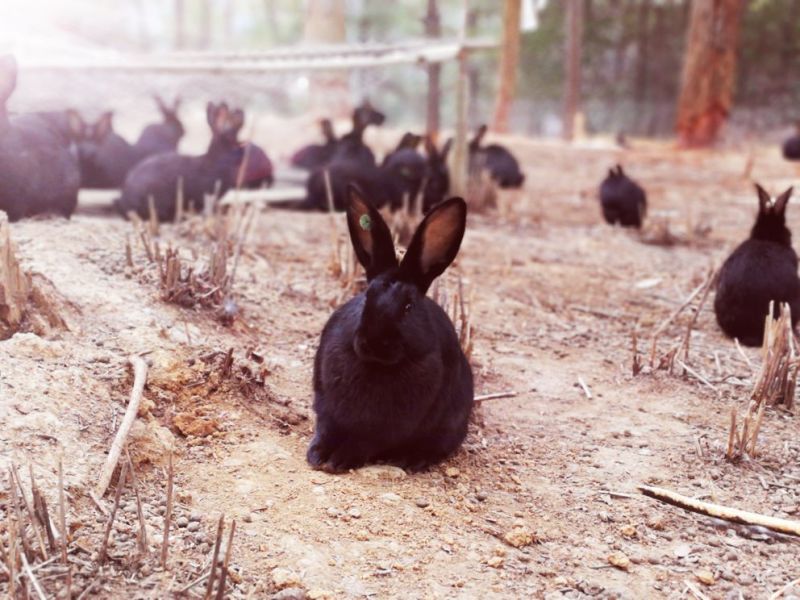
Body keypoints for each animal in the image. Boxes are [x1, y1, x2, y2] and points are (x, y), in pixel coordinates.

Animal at [304, 185, 468, 472]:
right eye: (366, 296)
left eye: (409, 306)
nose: (375, 343)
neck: (377, 366)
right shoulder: (325, 406)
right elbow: (326, 428)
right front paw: (318, 455)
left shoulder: (390, 428)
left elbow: (365, 442)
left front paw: (337, 460)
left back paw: (412, 460)